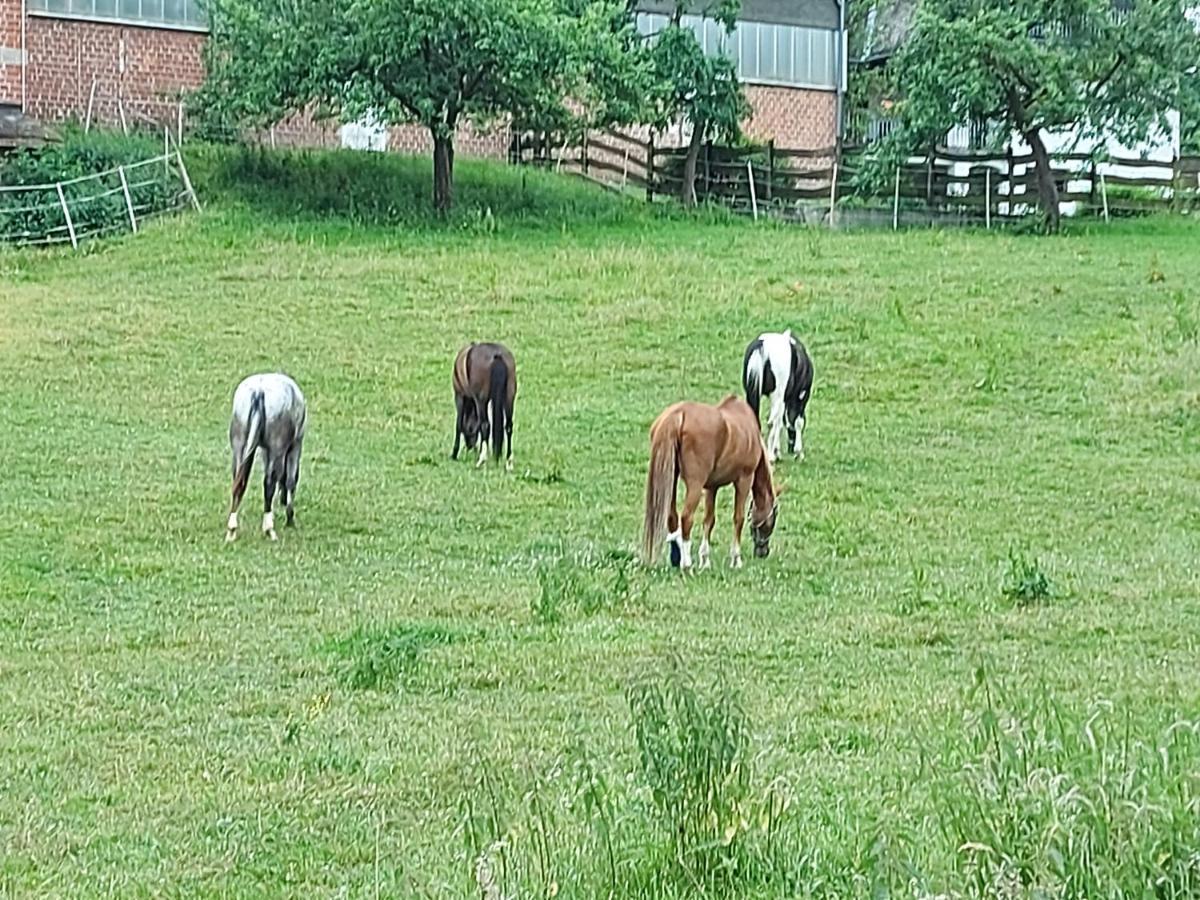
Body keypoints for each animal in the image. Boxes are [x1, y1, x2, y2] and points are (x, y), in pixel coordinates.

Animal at [225, 374, 307, 542]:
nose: (282, 501)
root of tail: (259, 391)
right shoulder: (295, 446)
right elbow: (290, 481)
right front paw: (290, 519)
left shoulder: (265, 450)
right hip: (278, 449)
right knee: (269, 484)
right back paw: (269, 529)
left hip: (239, 446)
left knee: (238, 483)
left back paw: (232, 529)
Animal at [451, 343, 518, 472]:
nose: (470, 446)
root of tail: (497, 356)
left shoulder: (459, 396)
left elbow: (459, 424)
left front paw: (454, 454)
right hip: (509, 397)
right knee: (508, 426)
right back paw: (508, 462)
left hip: (481, 400)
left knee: (486, 425)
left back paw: (481, 460)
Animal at [643, 393, 782, 571]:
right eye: (773, 519)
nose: (763, 552)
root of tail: (678, 414)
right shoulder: (744, 480)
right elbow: (738, 518)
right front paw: (736, 559)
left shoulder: (711, 487)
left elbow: (709, 520)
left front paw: (705, 560)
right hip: (695, 485)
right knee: (686, 518)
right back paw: (686, 564)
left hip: (672, 480)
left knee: (672, 516)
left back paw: (676, 558)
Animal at [739, 333, 816, 465]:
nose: (791, 449)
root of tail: (761, 346)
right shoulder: (800, 397)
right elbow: (797, 422)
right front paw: (798, 453)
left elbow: (781, 421)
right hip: (777, 395)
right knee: (772, 422)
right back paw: (770, 456)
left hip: (753, 392)